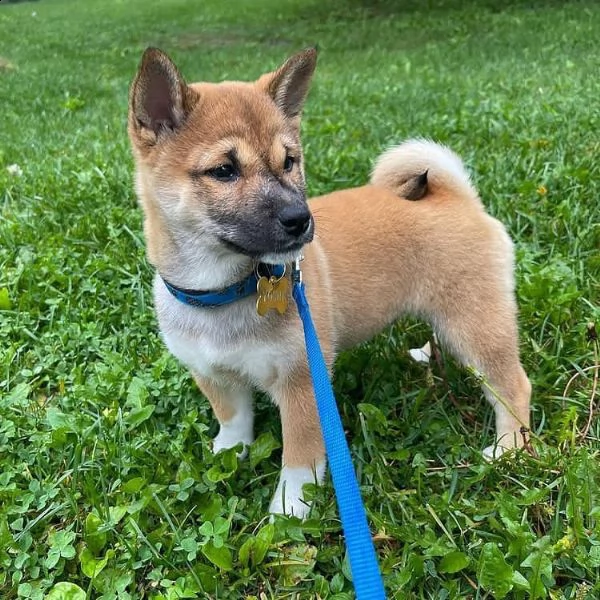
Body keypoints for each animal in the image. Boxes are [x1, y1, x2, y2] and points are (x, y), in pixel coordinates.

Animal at [126, 47, 528, 516]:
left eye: (289, 161)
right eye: (223, 170)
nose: (300, 219)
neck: (226, 291)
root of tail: (459, 199)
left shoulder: (303, 383)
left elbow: (299, 457)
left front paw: (289, 509)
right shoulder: (214, 374)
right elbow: (234, 421)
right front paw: (229, 454)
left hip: (475, 324)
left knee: (513, 385)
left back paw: (509, 449)